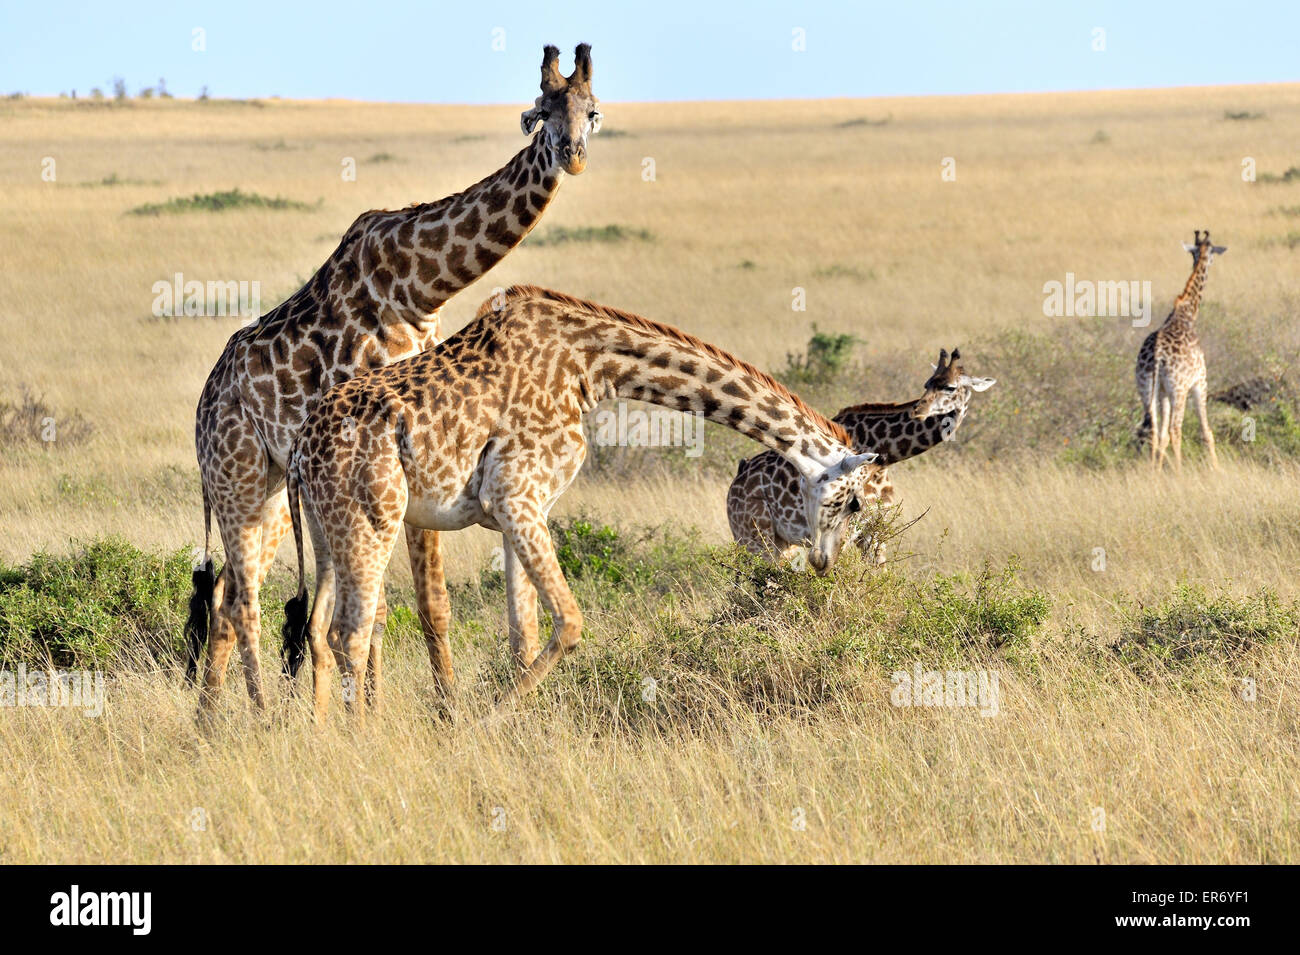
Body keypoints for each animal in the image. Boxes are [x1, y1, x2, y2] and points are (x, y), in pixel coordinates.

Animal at [188, 44, 603, 717]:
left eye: (592, 110)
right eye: (542, 111)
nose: (573, 154)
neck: (420, 285)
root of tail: (204, 401)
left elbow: (413, 605)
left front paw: (410, 708)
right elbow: (396, 607)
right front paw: (403, 711)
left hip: (273, 492)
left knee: (225, 594)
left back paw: (209, 721)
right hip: (236, 477)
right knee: (242, 598)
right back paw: (257, 713)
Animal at [279, 287, 878, 722]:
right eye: (852, 504)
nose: (824, 563)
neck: (591, 368)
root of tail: (301, 448)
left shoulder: (514, 511)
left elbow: (523, 636)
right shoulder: (518, 496)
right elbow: (568, 623)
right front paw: (486, 723)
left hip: (328, 527)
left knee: (318, 628)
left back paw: (322, 733)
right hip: (372, 519)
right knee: (350, 633)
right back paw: (362, 741)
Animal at [733, 348, 993, 563]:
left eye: (950, 387)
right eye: (927, 384)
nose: (918, 410)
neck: (883, 456)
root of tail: (736, 482)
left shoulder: (876, 531)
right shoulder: (847, 529)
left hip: (781, 543)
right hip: (754, 537)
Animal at [1138, 231, 1227, 470]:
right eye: (1213, 255)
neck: (1186, 314)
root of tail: (1157, 356)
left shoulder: (1162, 393)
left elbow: (1161, 436)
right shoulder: (1200, 382)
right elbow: (1207, 432)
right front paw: (1217, 469)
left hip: (1146, 390)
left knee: (1153, 431)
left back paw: (1152, 471)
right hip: (1179, 390)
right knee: (1175, 429)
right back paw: (1179, 471)